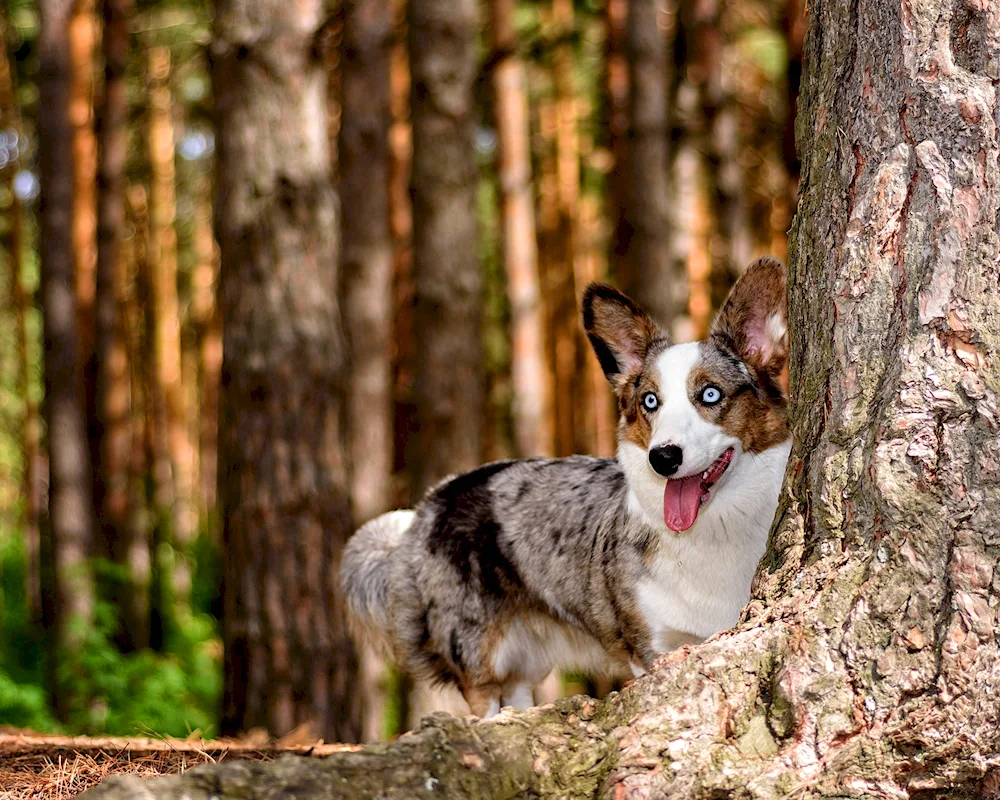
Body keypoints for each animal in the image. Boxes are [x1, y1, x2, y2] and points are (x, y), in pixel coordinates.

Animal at [340, 258, 792, 720]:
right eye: (650, 401)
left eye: (711, 394)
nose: (662, 458)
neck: (712, 532)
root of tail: (427, 506)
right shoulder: (650, 649)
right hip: (479, 659)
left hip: (523, 670)